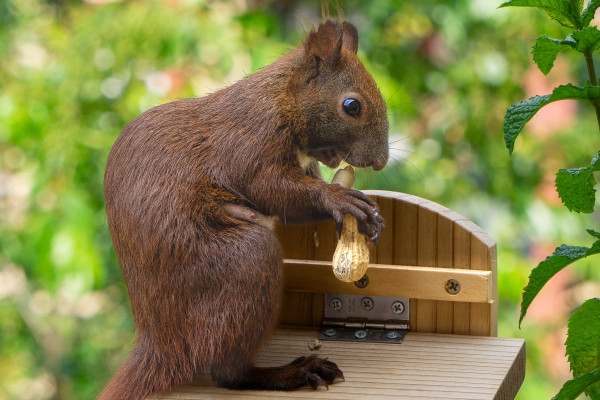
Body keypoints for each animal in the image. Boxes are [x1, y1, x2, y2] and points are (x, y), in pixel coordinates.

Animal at [98, 19, 390, 400]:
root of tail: (161, 343)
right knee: (228, 374)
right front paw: (340, 199)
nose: (381, 161)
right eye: (351, 105)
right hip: (245, 260)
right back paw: (290, 372)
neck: (283, 98)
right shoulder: (248, 142)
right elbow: (271, 189)